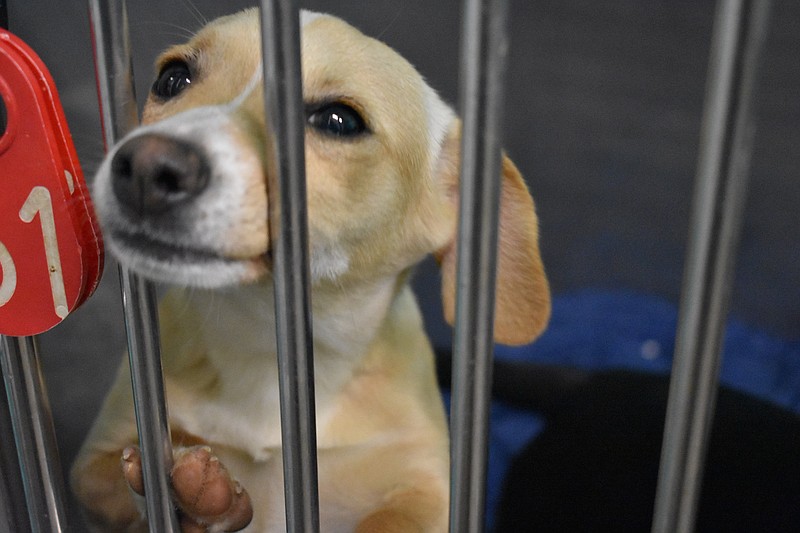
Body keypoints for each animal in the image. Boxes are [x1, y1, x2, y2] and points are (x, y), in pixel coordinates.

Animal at [72, 8, 552, 532]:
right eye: (172, 78)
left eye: (339, 121)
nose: (145, 167)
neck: (266, 344)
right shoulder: (95, 462)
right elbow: (128, 478)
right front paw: (190, 495)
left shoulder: (431, 487)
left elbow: (394, 519)